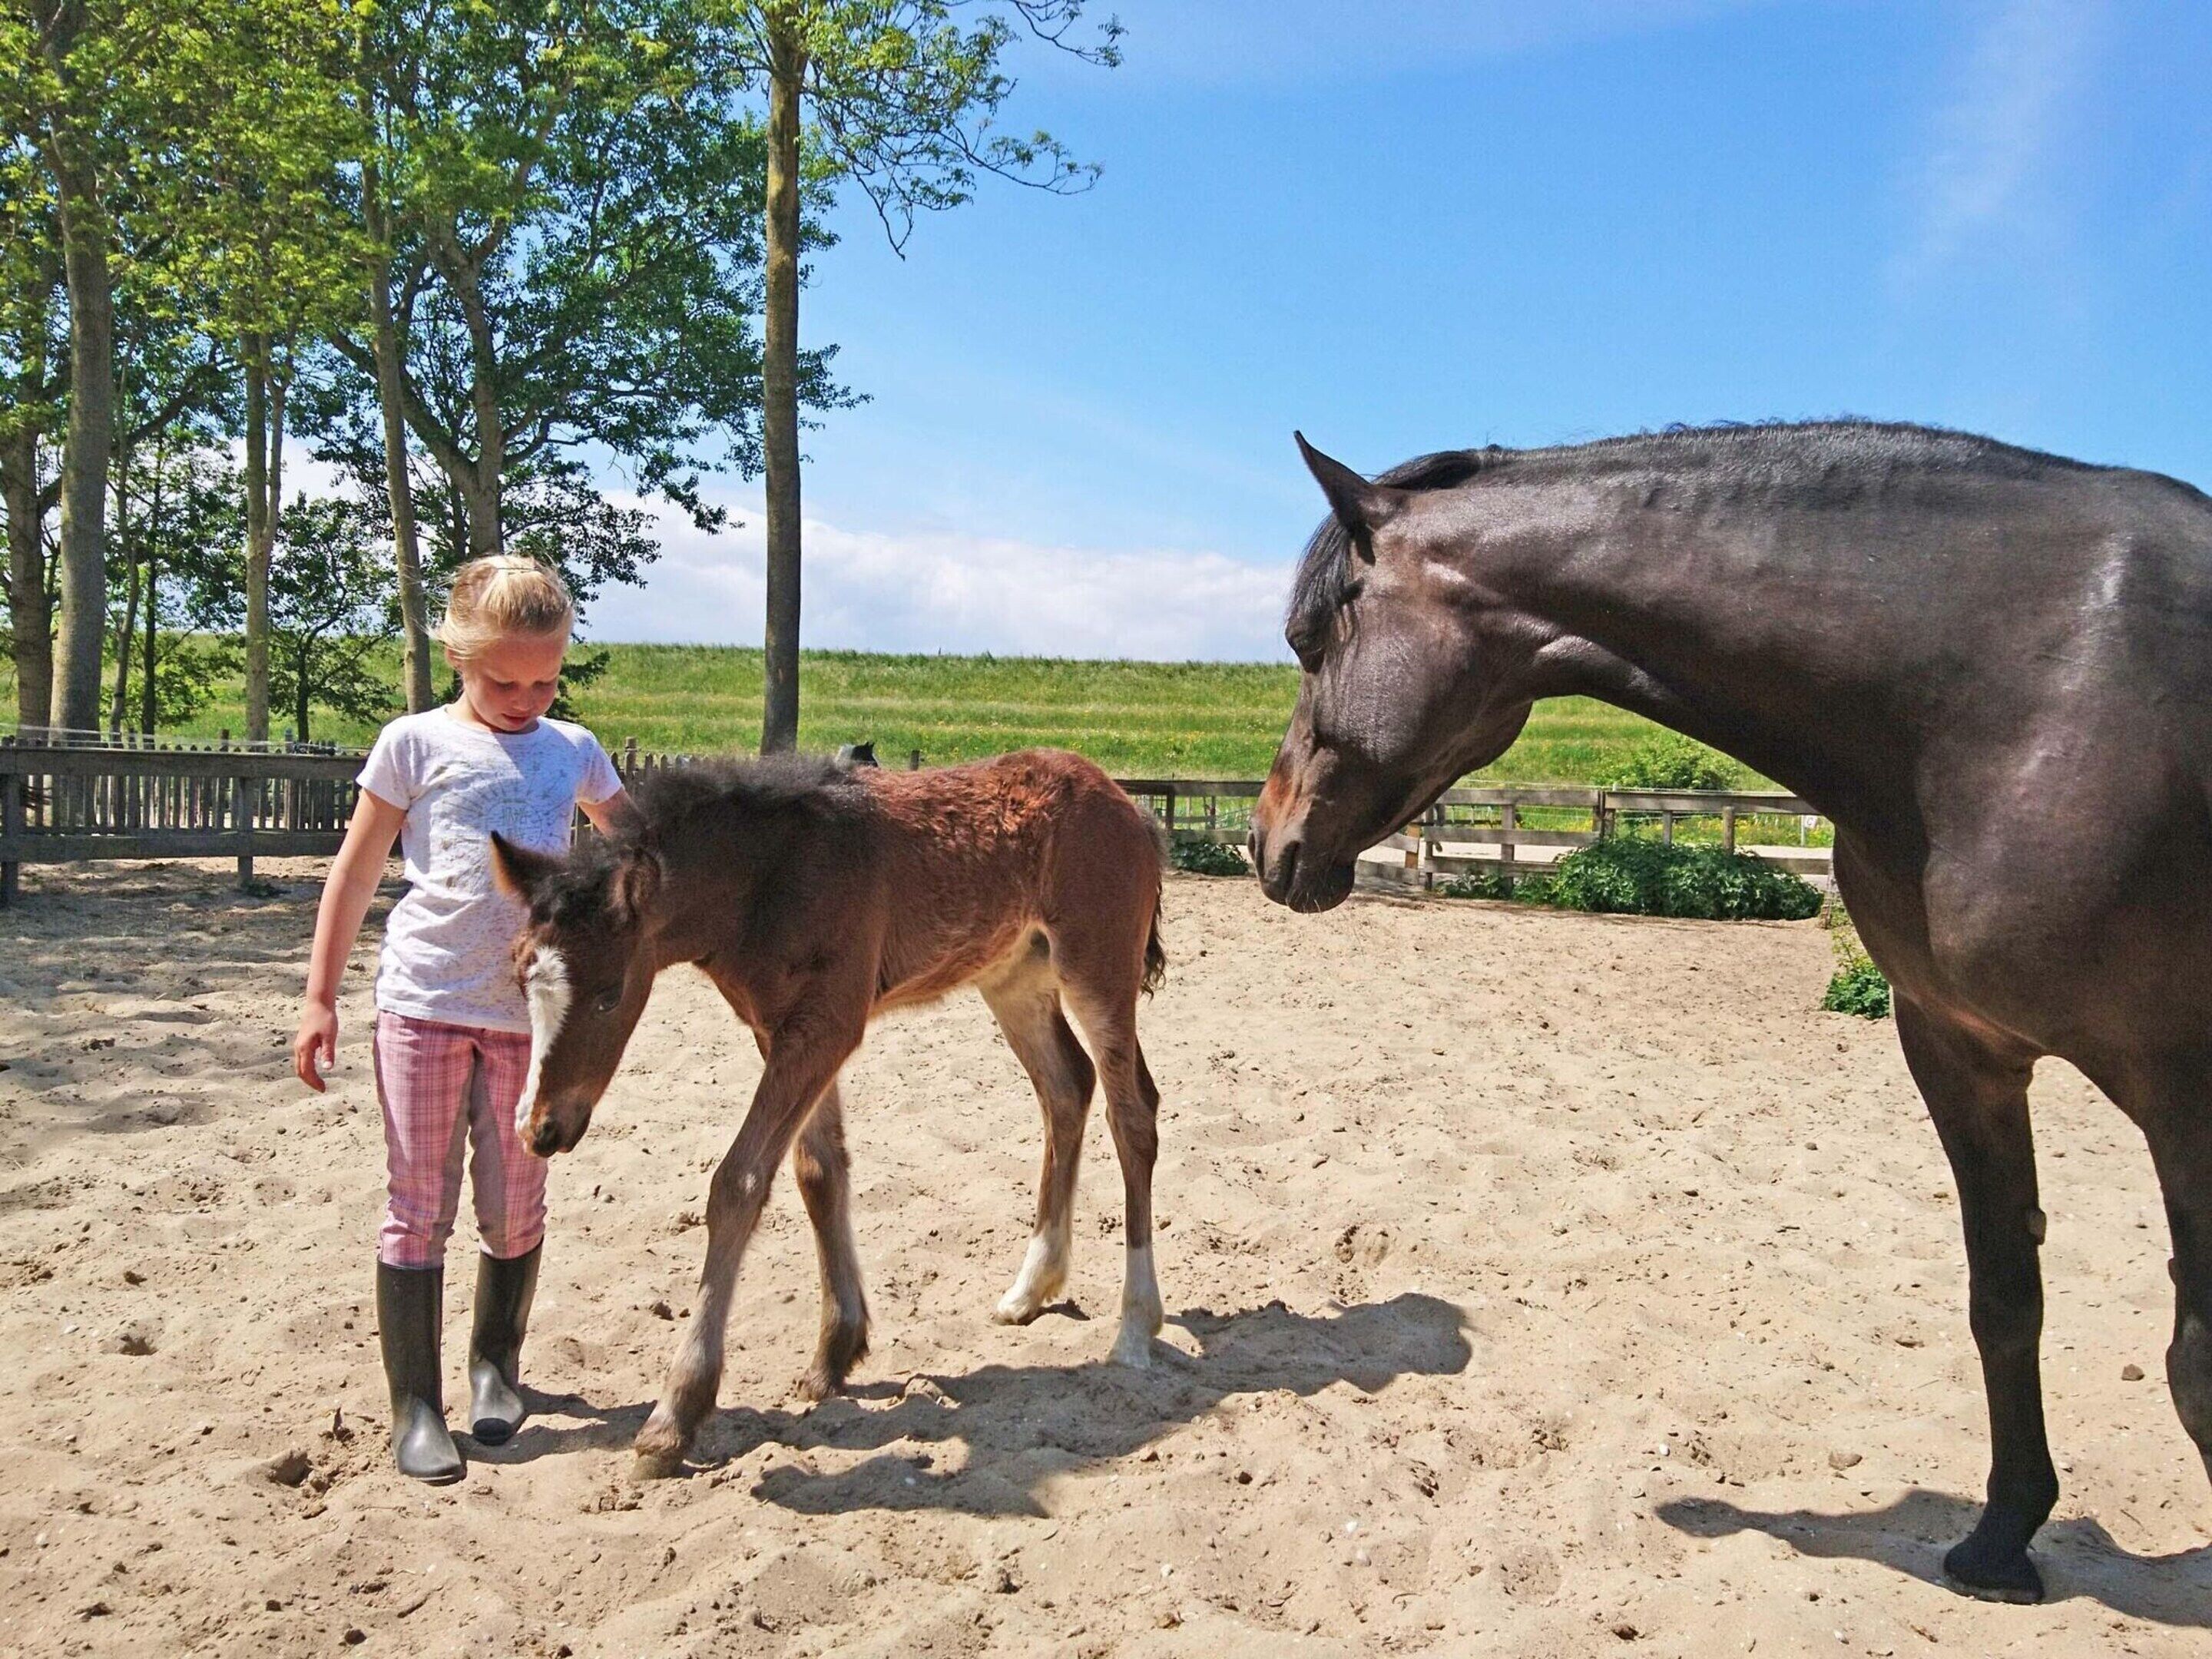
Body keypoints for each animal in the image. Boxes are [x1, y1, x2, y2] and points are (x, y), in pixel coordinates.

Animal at [487, 748, 1168, 1480]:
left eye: (610, 994)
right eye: (518, 975)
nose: (541, 1128)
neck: (771, 876)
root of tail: (1125, 803)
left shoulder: (826, 1026)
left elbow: (737, 1184)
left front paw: (675, 1415)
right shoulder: (783, 1029)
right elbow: (818, 1171)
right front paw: (836, 1350)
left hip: (1098, 968)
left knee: (1133, 1114)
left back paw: (1135, 1326)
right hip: (1015, 974)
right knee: (1066, 1088)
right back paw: (1031, 1288)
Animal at [1249, 419, 2212, 1603]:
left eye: (1307, 640)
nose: (1266, 842)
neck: (2013, 695)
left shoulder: (2184, 1087)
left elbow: (2196, 1366)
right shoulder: (1962, 1051)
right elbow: (2004, 1297)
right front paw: (1999, 1542)